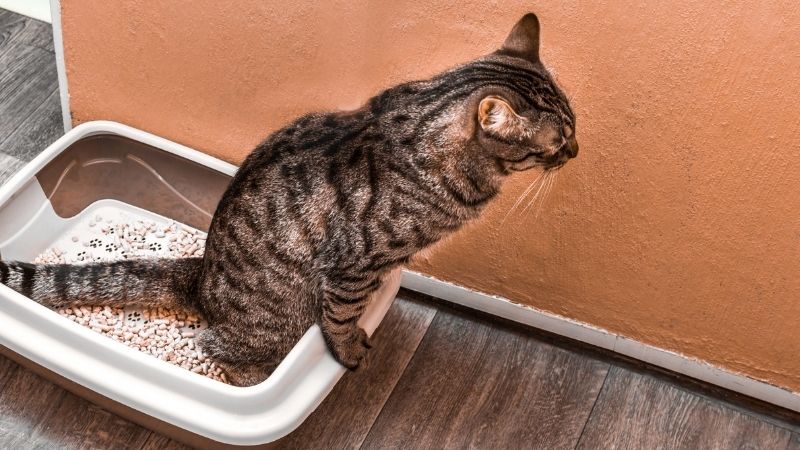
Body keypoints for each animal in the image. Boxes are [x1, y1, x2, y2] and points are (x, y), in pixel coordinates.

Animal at [0, 14, 576, 386]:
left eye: (574, 129)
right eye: (557, 142)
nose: (575, 151)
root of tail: (199, 276)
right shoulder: (352, 268)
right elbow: (341, 319)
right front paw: (350, 351)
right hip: (271, 322)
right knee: (217, 349)